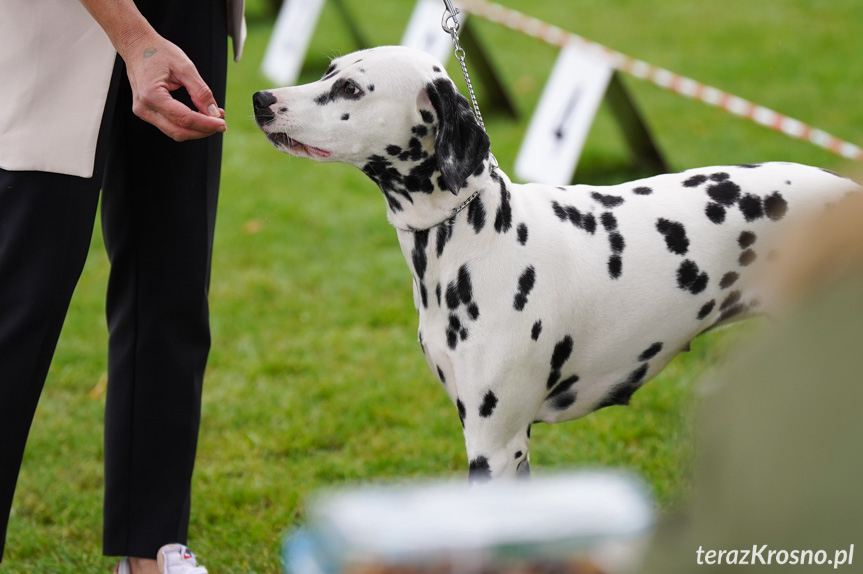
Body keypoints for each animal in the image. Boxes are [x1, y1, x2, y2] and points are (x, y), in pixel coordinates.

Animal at [253, 46, 860, 486]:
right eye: (327, 70)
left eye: (350, 89)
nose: (261, 98)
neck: (477, 238)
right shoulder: (508, 445)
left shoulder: (495, 444)